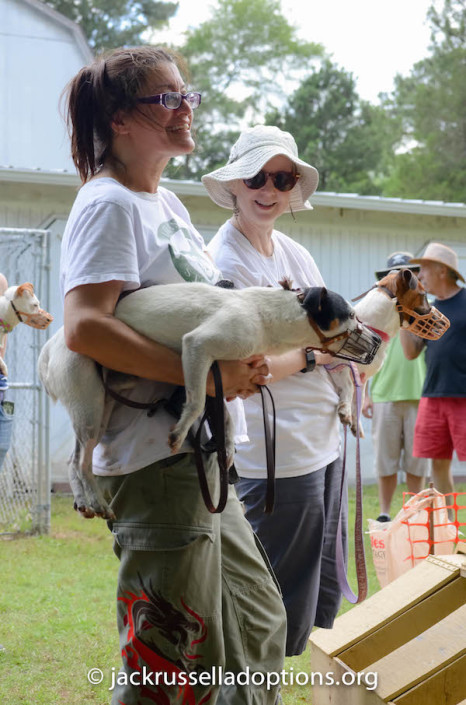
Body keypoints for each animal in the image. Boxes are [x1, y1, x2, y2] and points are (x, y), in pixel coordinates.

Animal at [39, 280, 382, 516]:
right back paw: (96, 501)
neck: (266, 316)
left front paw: (226, 445)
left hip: (100, 409)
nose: (378, 341)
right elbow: (195, 404)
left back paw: (83, 499)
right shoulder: (197, 346)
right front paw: (180, 432)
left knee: (74, 461)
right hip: (89, 407)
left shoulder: (216, 374)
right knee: (80, 462)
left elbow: (224, 416)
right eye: (351, 314)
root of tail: (48, 350)